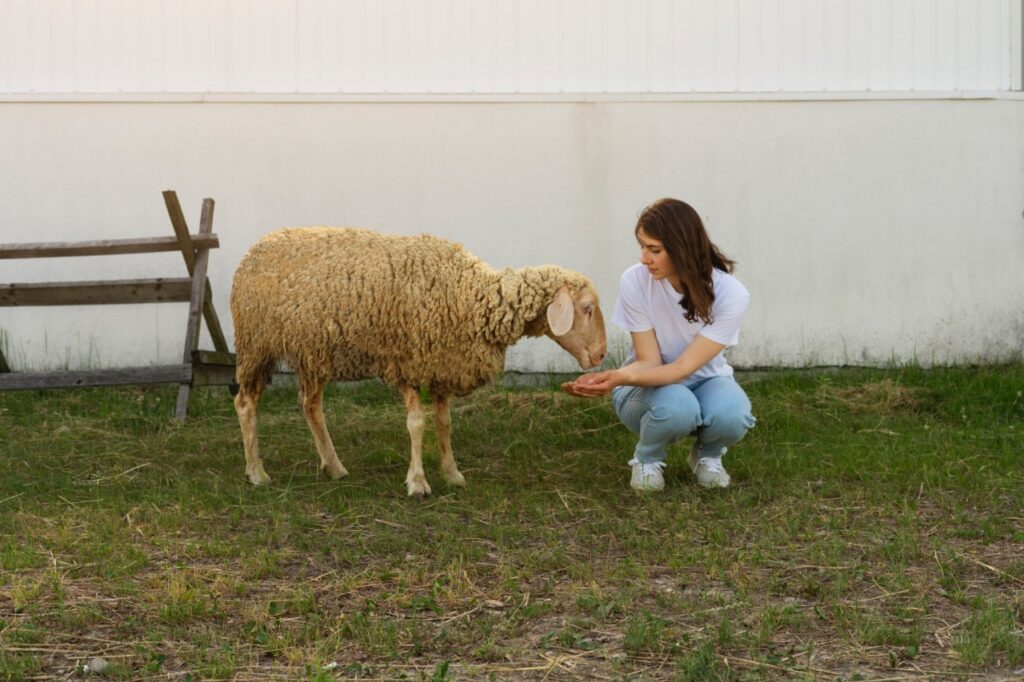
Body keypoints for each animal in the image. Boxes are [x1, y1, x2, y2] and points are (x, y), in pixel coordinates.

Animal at [230, 227, 607, 496]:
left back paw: (334, 467)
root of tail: (256, 247)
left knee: (310, 405)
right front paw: (418, 482)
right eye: (587, 308)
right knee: (245, 404)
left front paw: (452, 474)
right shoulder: (409, 363)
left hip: (313, 353)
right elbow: (416, 424)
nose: (602, 354)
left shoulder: (442, 366)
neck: (472, 296)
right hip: (256, 346)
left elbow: (444, 424)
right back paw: (257, 473)